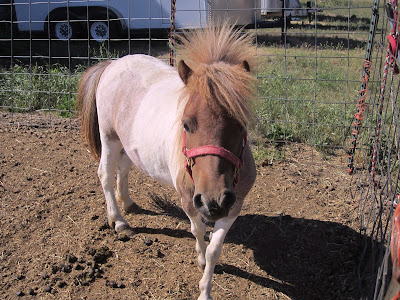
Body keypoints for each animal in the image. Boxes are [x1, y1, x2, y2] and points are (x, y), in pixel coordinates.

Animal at [76, 24, 256, 300]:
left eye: (240, 125)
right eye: (186, 124)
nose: (214, 200)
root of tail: (112, 64)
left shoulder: (235, 206)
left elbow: (215, 248)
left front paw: (206, 286)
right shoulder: (189, 200)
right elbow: (198, 231)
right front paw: (200, 259)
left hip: (129, 145)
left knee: (123, 169)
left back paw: (128, 202)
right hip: (109, 138)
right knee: (105, 174)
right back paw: (119, 220)